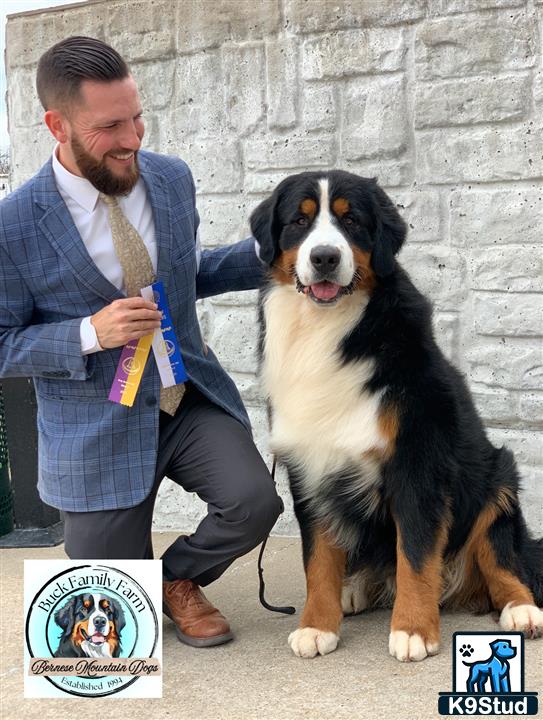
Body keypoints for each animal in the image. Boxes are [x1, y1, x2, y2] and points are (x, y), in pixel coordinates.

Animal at [251, 170, 543, 664]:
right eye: (299, 221)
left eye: (352, 221)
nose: (325, 257)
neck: (328, 331)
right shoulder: (310, 467)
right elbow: (319, 559)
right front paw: (317, 625)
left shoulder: (417, 461)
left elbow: (418, 555)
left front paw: (412, 630)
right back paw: (353, 591)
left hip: (496, 482)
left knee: (503, 560)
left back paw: (521, 611)